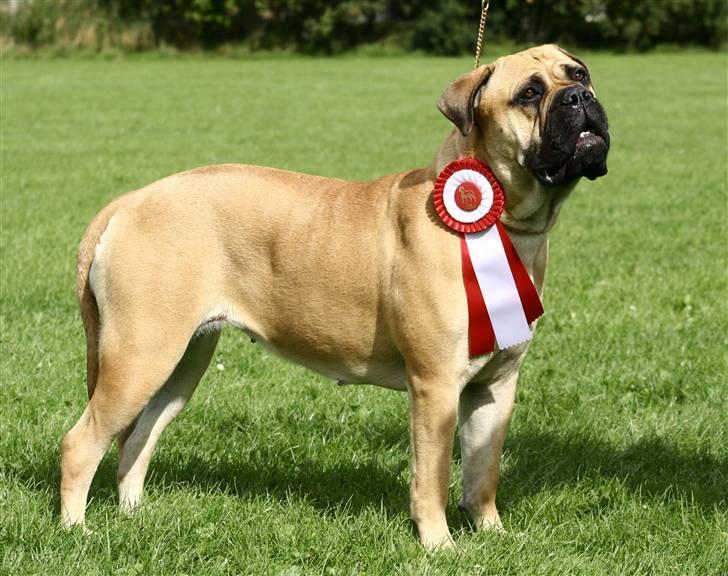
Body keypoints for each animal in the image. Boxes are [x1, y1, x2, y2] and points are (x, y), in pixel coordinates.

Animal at [61, 44, 608, 548]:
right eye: (529, 94)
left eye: (578, 74)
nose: (580, 97)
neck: (503, 221)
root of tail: (128, 202)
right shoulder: (435, 387)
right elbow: (432, 475)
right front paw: (440, 545)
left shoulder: (495, 386)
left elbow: (482, 469)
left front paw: (492, 532)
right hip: (140, 355)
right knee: (80, 443)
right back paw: (76, 529)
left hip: (181, 362)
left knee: (138, 436)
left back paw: (135, 516)